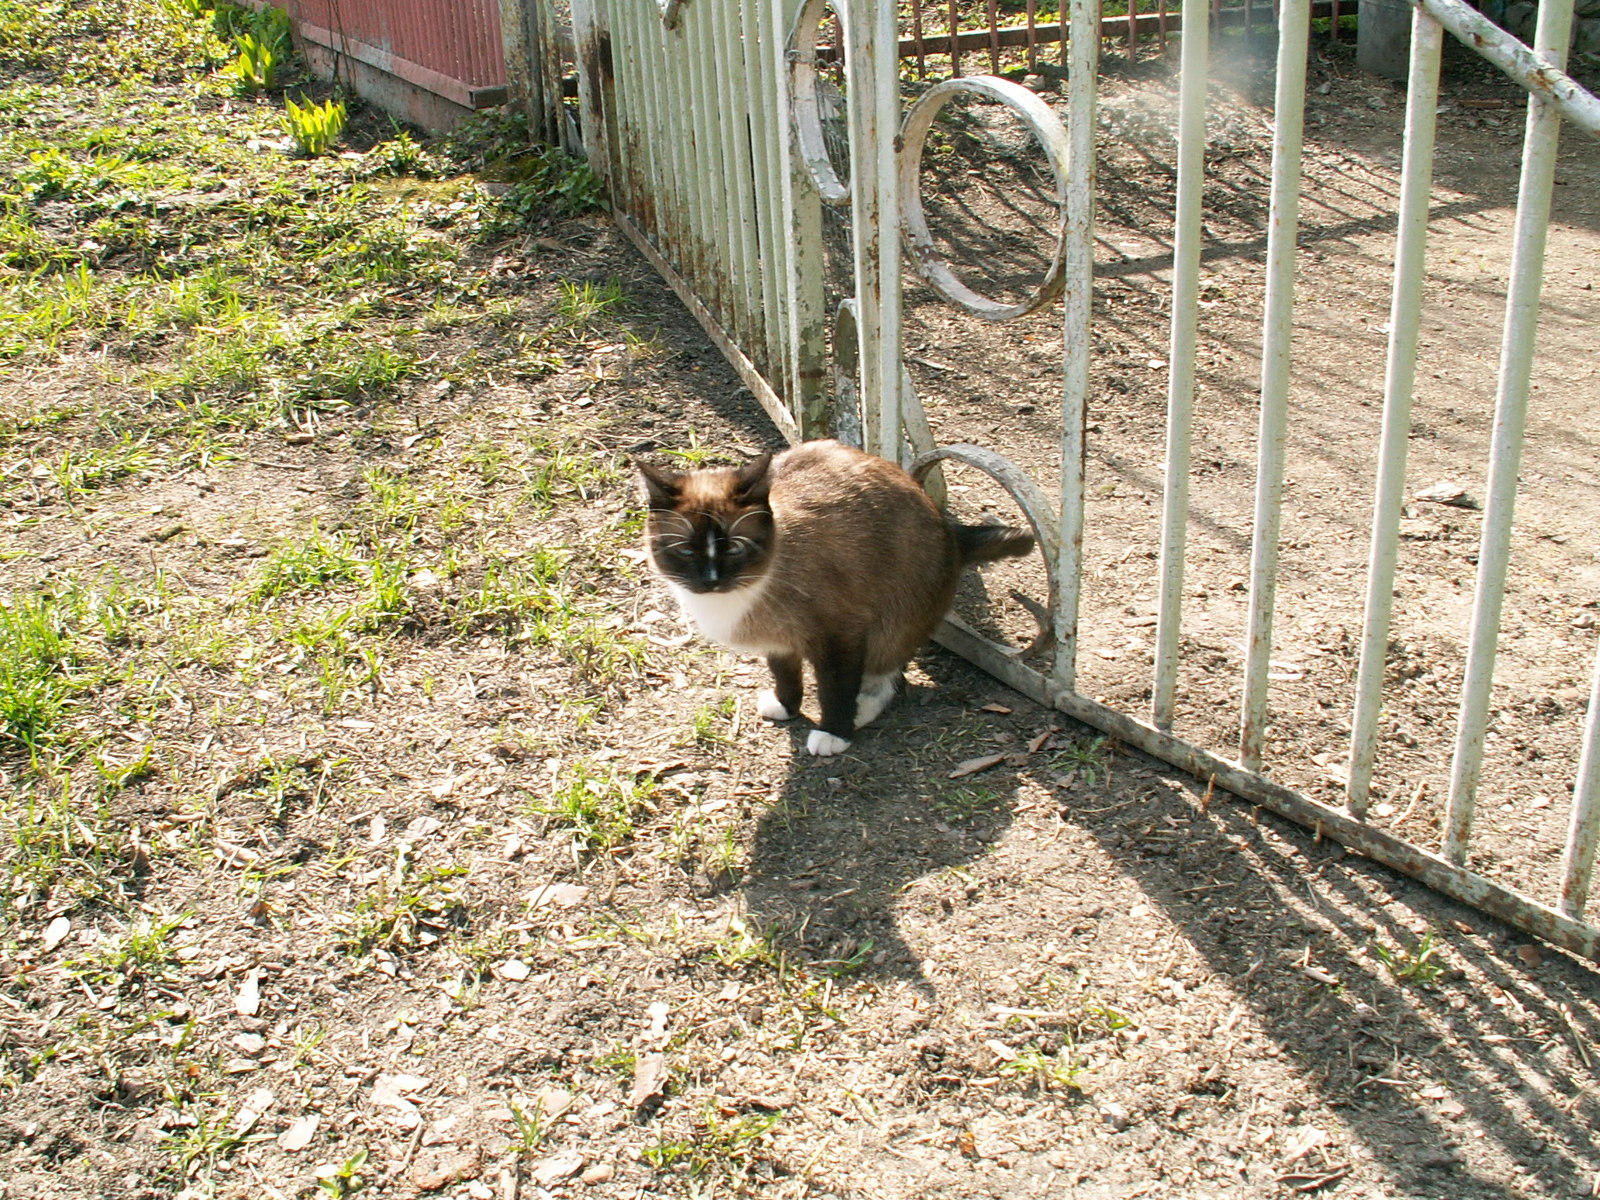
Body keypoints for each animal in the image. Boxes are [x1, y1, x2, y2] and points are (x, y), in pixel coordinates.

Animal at [630, 441, 1030, 761]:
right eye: (685, 551)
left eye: (734, 549)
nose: (710, 580)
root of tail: (953, 531)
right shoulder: (779, 643)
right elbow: (786, 675)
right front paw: (787, 707)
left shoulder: (842, 636)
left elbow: (835, 689)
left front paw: (835, 732)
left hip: (889, 629)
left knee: (889, 678)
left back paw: (859, 713)